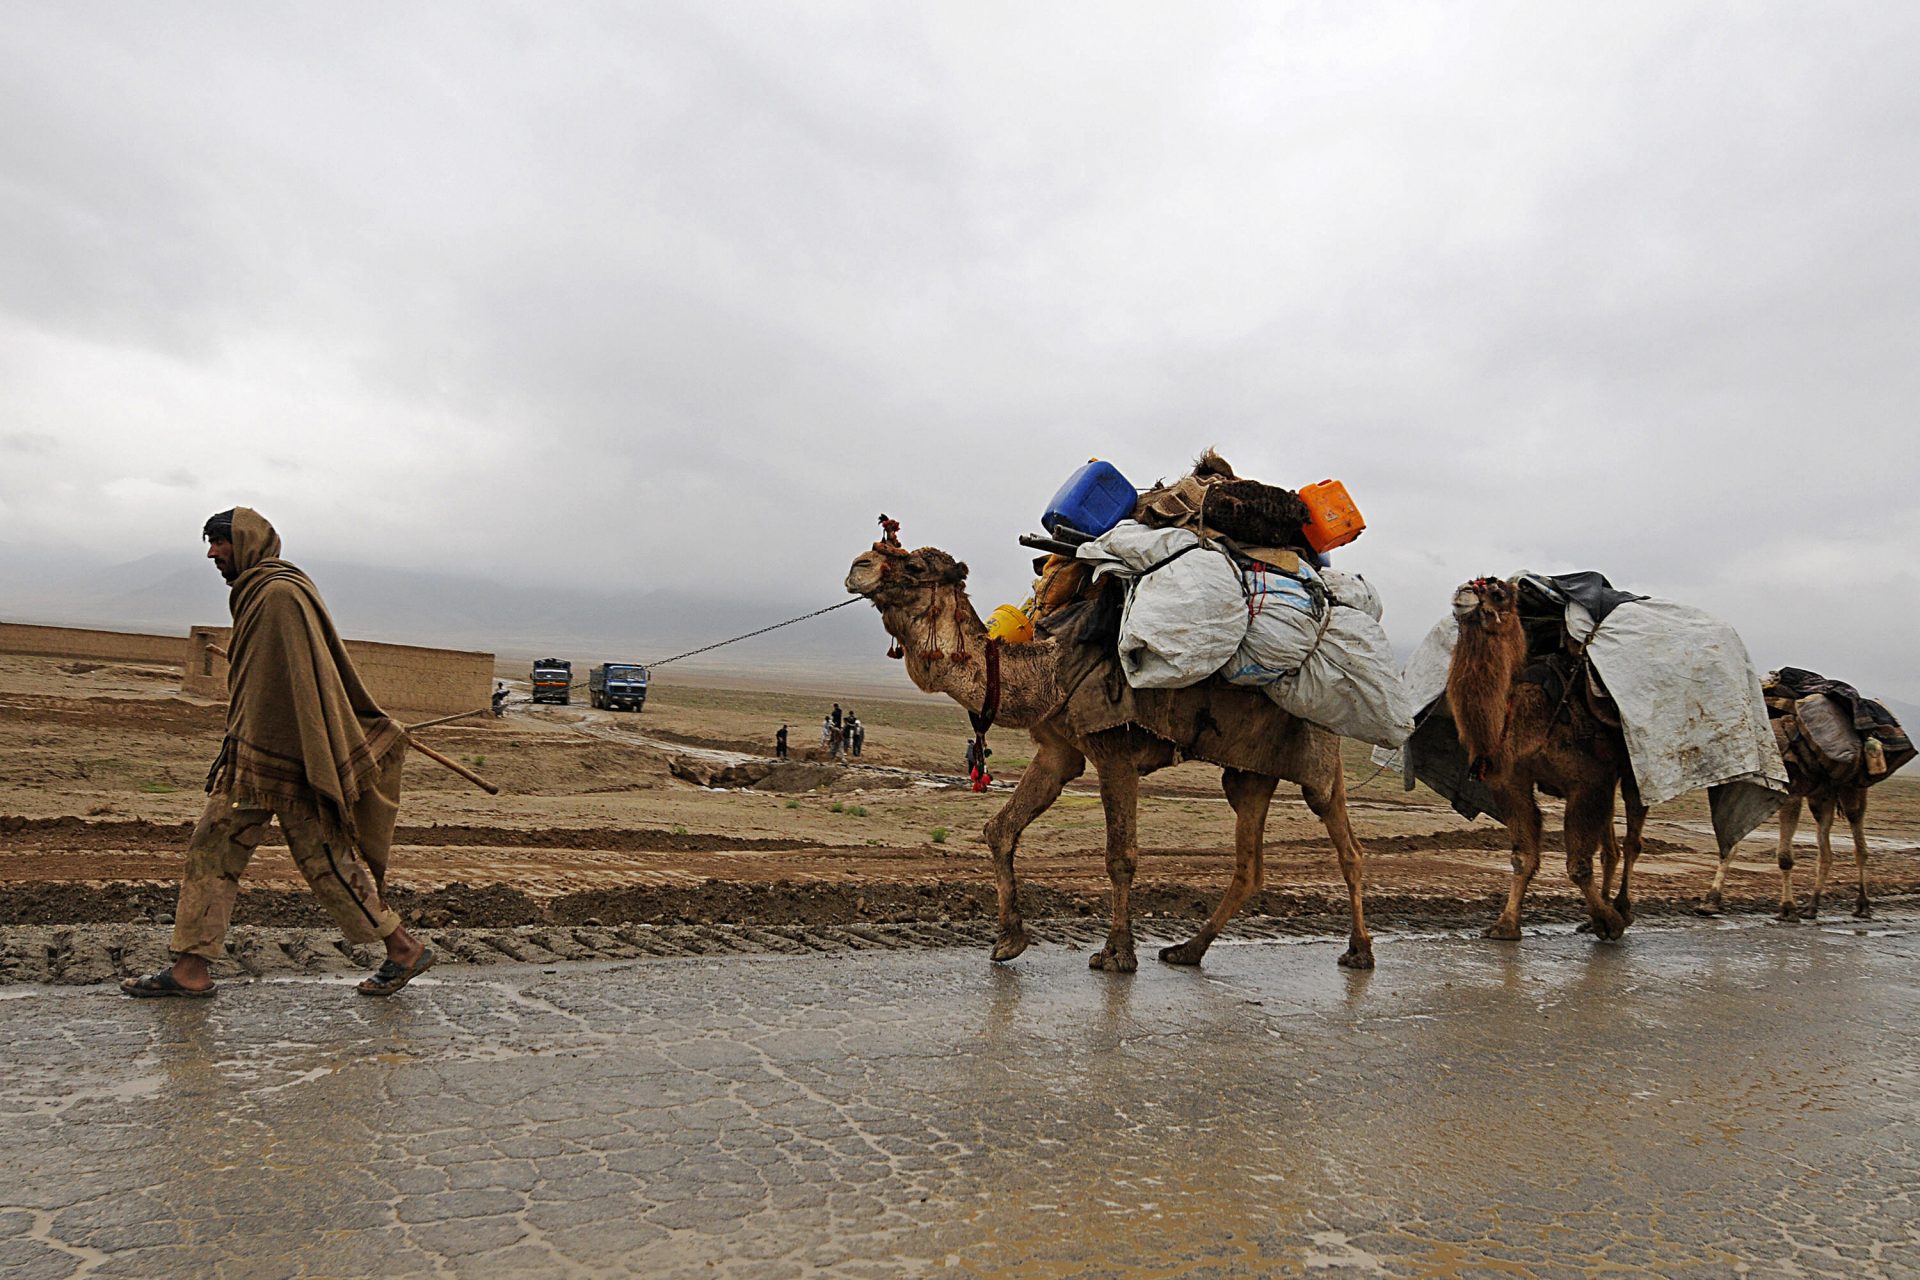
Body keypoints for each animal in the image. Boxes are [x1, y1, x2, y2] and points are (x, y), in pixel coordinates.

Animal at [848, 525, 1374, 974]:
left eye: (914, 565)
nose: (857, 565)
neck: (1051, 668)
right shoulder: (1058, 750)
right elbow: (1000, 829)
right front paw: (1008, 940)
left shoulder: (1115, 751)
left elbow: (1120, 855)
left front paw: (1117, 954)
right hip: (1248, 769)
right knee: (1249, 866)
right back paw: (1187, 950)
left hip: (1318, 750)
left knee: (1346, 846)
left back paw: (1359, 951)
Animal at [1443, 579, 1643, 940]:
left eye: (1497, 593)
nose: (1463, 592)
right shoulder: (1512, 781)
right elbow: (1522, 857)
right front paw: (1505, 925)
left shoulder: (1587, 780)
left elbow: (1578, 865)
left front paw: (1609, 922)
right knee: (1611, 847)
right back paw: (1595, 915)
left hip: (1635, 768)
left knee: (1632, 838)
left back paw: (1622, 908)